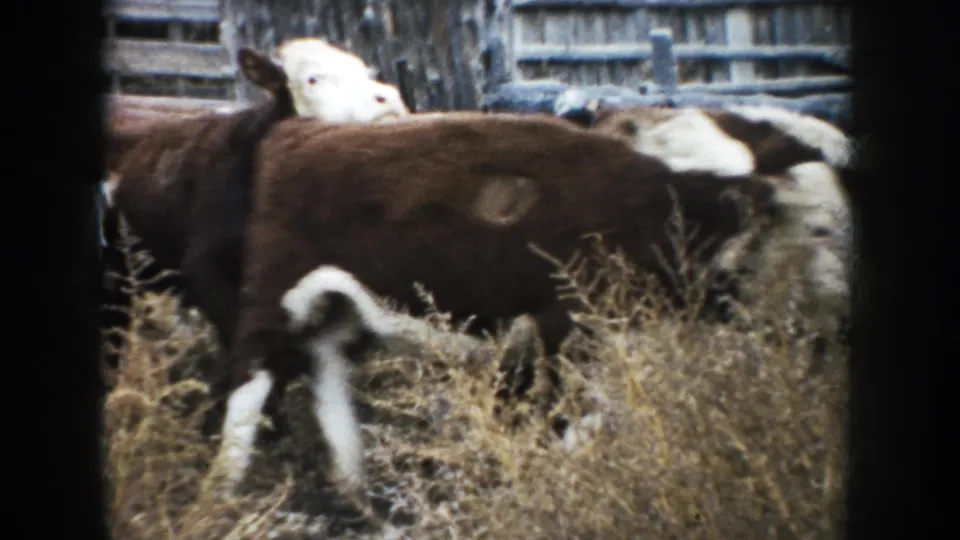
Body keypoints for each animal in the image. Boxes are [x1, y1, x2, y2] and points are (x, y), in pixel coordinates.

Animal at [204, 111, 853, 501]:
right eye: (820, 229)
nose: (847, 305)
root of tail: (302, 131)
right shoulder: (570, 328)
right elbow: (571, 419)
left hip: (335, 308)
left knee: (326, 374)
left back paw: (353, 487)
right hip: (274, 302)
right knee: (249, 383)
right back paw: (224, 488)